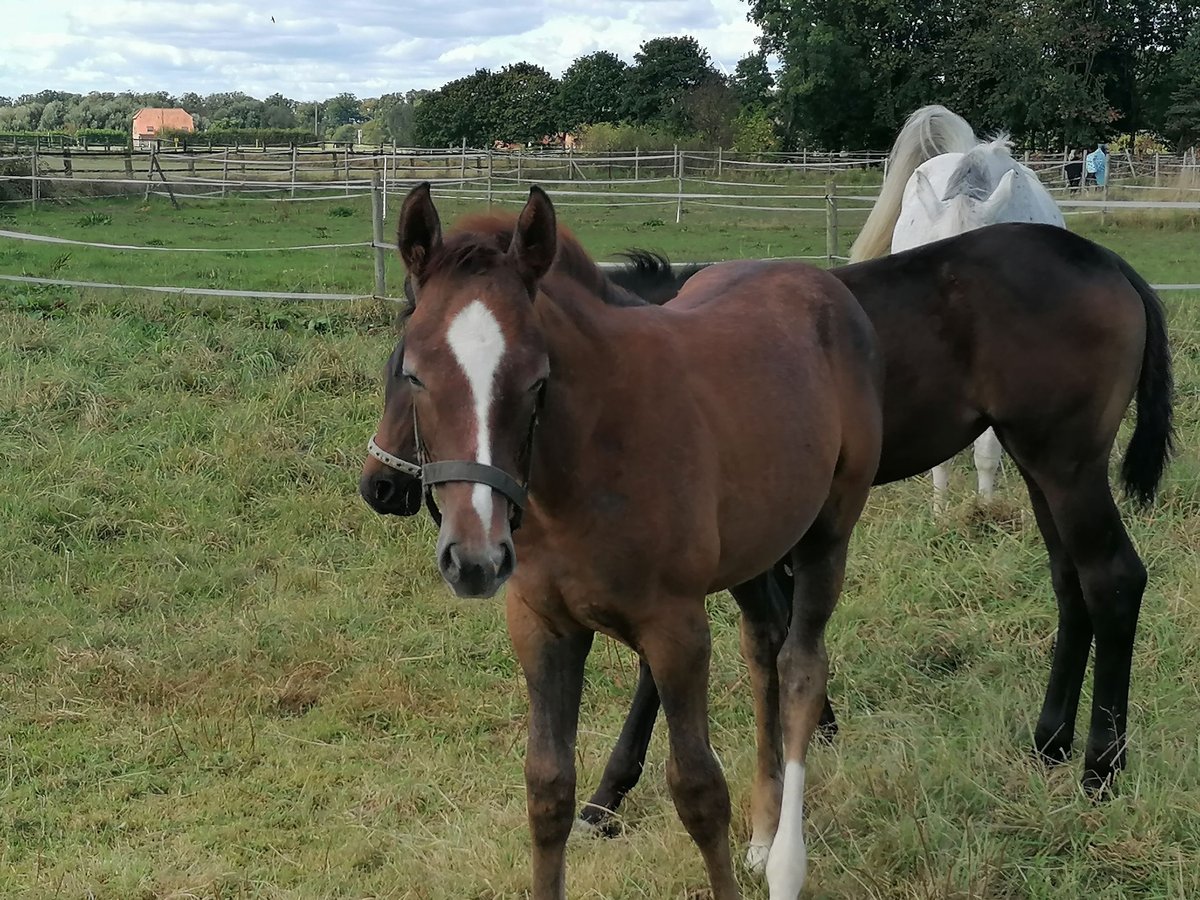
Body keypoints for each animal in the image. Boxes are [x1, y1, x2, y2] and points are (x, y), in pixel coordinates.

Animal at [362, 220, 1171, 816]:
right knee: (1070, 584)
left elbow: (674, 666)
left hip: (1066, 465)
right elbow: (770, 628)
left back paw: (1100, 767)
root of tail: (1111, 263)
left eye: (403, 368)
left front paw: (610, 791)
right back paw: (1049, 741)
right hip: (1040, 466)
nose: (382, 485)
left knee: (1112, 579)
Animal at [393, 180, 883, 897]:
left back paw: (786, 862)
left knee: (800, 667)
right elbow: (548, 791)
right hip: (754, 549)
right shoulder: (541, 626)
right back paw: (763, 836)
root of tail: (822, 284)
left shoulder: (675, 629)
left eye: (537, 378)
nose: (475, 559)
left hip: (828, 530)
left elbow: (700, 792)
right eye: (414, 372)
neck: (587, 463)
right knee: (763, 647)